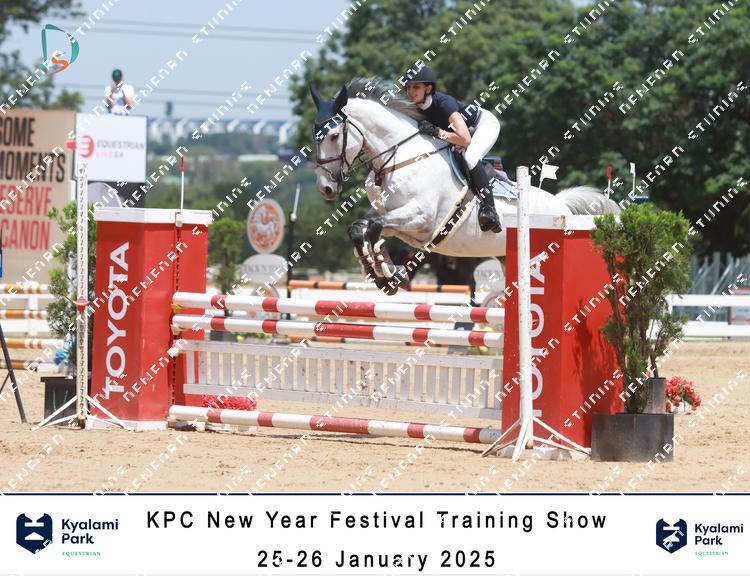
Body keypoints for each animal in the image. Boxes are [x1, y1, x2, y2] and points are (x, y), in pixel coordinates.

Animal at [311, 78, 619, 295]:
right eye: (316, 136)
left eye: (334, 135)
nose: (325, 188)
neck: (401, 156)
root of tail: (561, 205)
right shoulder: (390, 214)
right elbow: (360, 228)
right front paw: (383, 274)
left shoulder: (422, 218)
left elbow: (374, 228)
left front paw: (388, 273)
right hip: (505, 256)